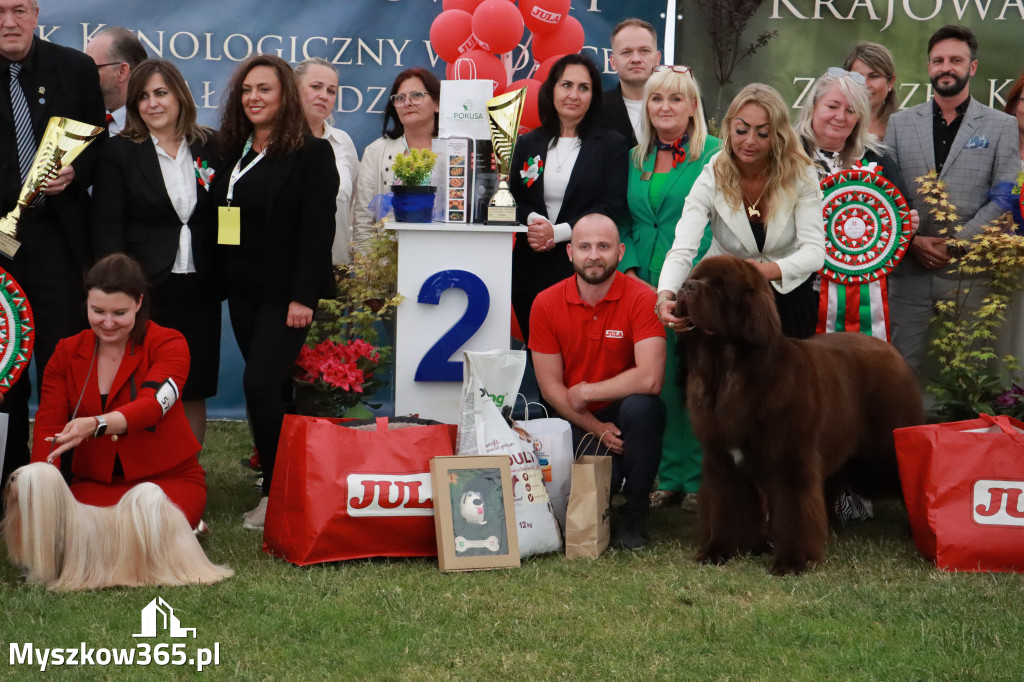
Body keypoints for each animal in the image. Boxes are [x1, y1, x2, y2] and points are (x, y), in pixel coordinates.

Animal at [675, 254, 925, 573]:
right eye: (694, 277)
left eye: (718, 287)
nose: (686, 286)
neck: (726, 370)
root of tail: (890, 350)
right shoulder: (722, 460)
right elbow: (725, 506)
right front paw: (717, 550)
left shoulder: (790, 458)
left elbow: (793, 509)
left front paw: (792, 561)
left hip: (883, 452)